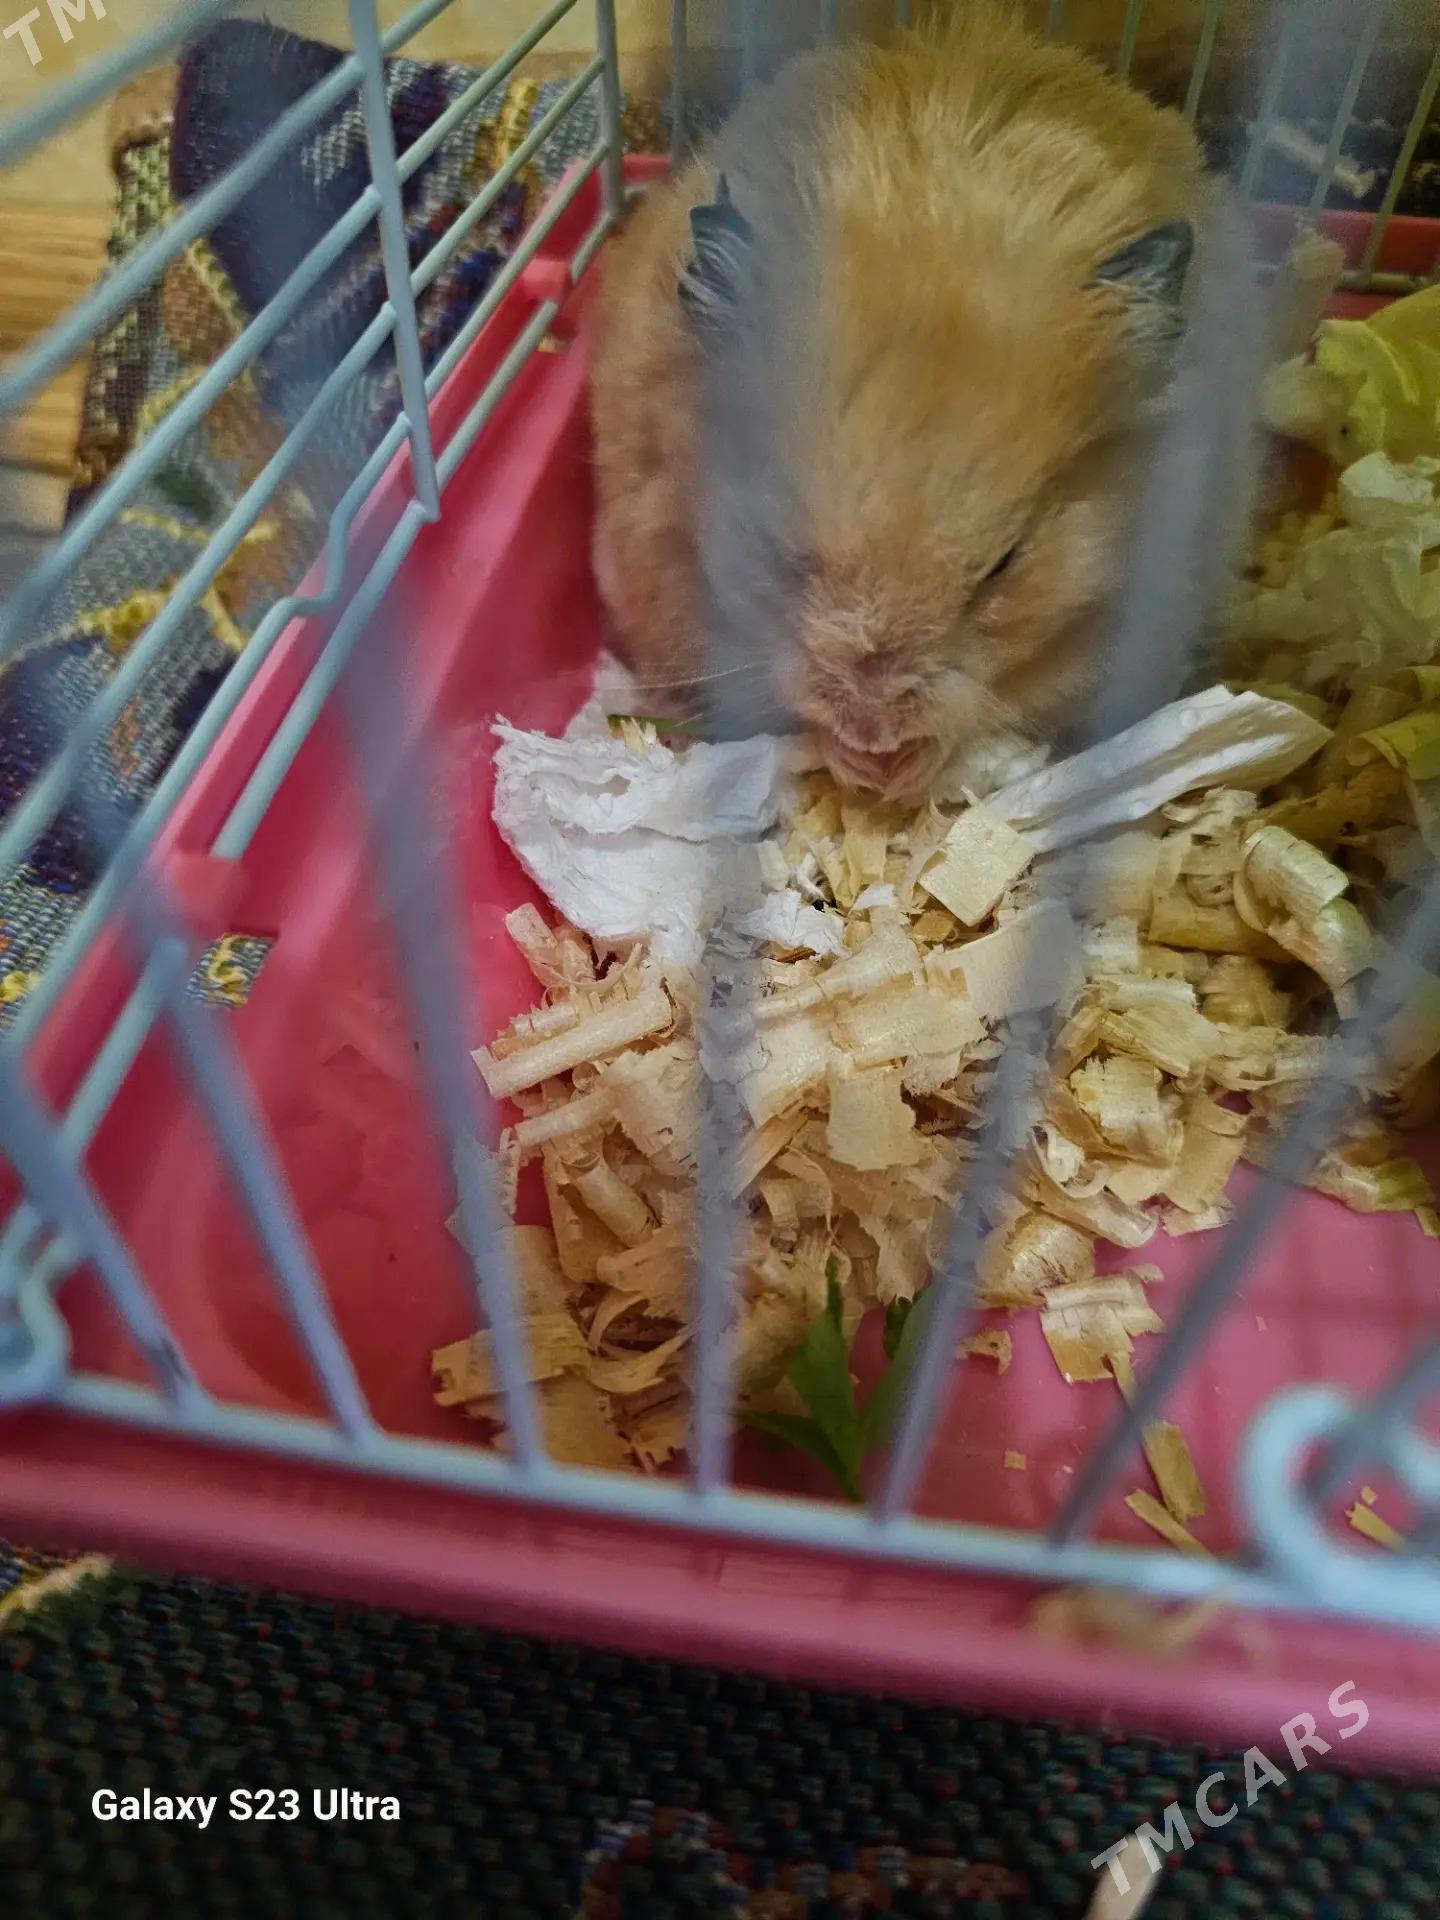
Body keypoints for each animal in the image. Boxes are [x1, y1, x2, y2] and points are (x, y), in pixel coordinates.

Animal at [588, 2, 1214, 797]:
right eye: (781, 551)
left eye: (1006, 564)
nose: (874, 729)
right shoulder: (665, 562)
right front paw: (854, 759)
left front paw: (905, 768)